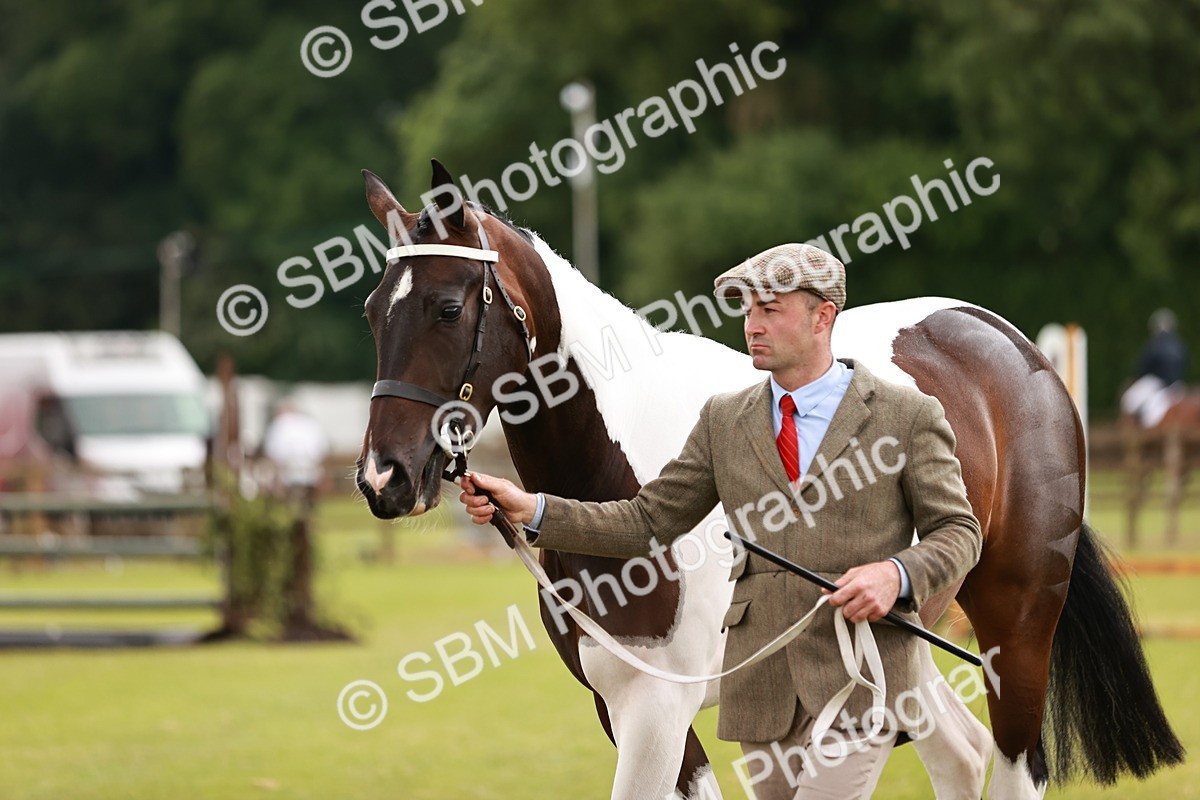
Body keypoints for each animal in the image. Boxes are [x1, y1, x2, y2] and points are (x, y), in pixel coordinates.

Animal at [355, 161, 1183, 799]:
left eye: (448, 306)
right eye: (370, 312)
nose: (382, 477)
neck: (617, 466)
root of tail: (1009, 344)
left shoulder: (656, 709)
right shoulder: (622, 704)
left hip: (1017, 626)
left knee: (1012, 762)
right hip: (899, 644)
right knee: (959, 753)